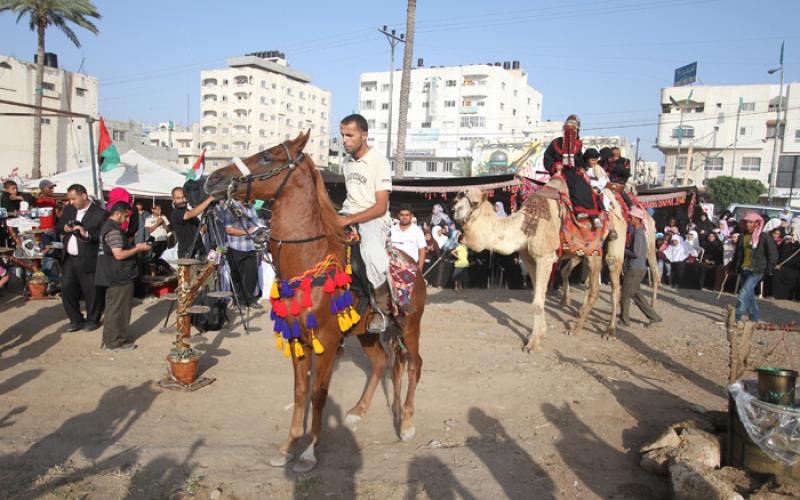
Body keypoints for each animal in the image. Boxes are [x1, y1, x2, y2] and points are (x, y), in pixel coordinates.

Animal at [203, 131, 428, 470]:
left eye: (267, 157)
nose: (213, 179)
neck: (307, 259)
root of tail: (415, 265)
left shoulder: (327, 340)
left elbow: (319, 394)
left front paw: (309, 451)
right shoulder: (298, 337)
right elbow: (299, 392)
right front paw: (288, 447)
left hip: (410, 326)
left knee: (414, 364)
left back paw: (408, 423)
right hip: (366, 333)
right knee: (381, 363)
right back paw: (358, 412)